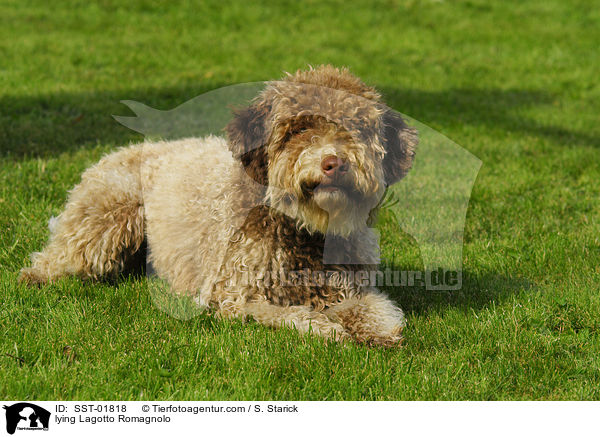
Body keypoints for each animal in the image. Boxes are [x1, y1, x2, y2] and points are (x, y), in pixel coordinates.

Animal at [21, 64, 420, 346]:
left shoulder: (350, 288)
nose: (333, 163)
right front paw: (327, 328)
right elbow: (291, 315)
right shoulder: (236, 295)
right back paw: (37, 275)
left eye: (357, 128)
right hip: (110, 217)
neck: (304, 233)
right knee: (62, 255)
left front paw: (375, 330)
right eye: (299, 130)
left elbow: (376, 310)